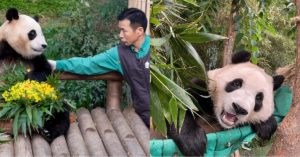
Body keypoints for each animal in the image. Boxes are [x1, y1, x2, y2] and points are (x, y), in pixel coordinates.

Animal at [0, 7, 69, 143]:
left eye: (42, 33)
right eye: (32, 33)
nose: (44, 45)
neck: (13, 50)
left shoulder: (36, 57)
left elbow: (45, 70)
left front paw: (29, 80)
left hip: (52, 102)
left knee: (58, 110)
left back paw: (49, 132)